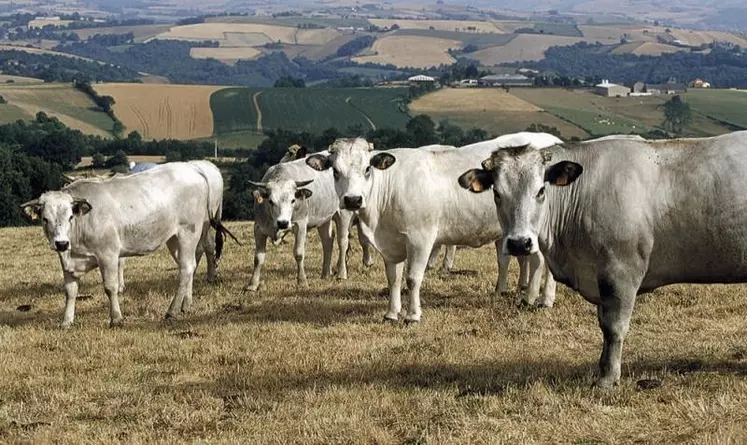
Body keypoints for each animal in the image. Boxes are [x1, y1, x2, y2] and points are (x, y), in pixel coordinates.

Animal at [458, 130, 747, 386]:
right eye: (497, 193)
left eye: (540, 191)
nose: (520, 243)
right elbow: (602, 326)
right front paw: (601, 367)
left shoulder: (621, 272)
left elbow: (614, 327)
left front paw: (608, 377)